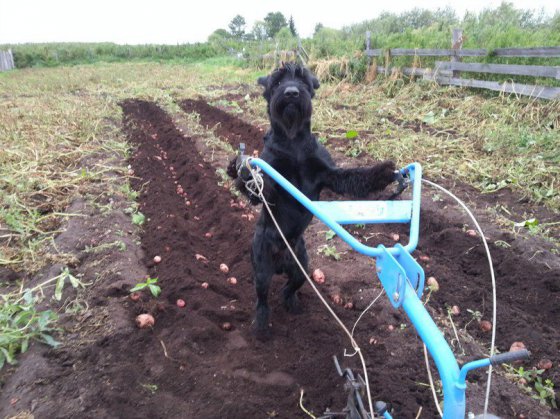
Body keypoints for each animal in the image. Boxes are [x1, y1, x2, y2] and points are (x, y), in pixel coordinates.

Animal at [229, 63, 398, 342]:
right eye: (277, 82)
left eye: (303, 80)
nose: (291, 93)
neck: (293, 140)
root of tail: (282, 262)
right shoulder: (272, 182)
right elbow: (260, 189)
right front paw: (241, 171)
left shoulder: (328, 174)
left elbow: (355, 176)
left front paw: (383, 172)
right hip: (262, 269)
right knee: (262, 298)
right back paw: (261, 326)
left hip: (302, 268)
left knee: (289, 288)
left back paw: (293, 304)